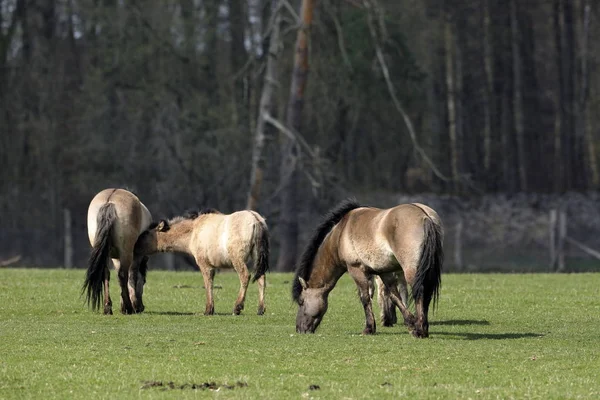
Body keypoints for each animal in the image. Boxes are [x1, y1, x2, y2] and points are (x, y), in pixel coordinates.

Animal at [82, 188, 152, 316]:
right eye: (144, 282)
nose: (142, 307)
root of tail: (110, 201)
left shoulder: (115, 257)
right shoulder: (136, 256)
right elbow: (132, 276)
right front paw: (133, 305)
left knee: (106, 274)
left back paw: (107, 307)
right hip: (126, 252)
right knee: (123, 275)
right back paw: (129, 308)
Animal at [136, 209, 270, 316]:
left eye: (146, 233)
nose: (135, 246)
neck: (192, 233)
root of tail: (256, 220)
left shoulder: (204, 264)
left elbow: (208, 284)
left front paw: (208, 310)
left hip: (237, 258)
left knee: (245, 276)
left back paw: (237, 307)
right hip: (257, 257)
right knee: (261, 278)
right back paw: (260, 309)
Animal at [292, 199, 442, 338]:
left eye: (301, 301)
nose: (300, 329)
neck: (340, 232)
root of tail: (424, 216)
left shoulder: (356, 270)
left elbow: (365, 298)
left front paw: (369, 328)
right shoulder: (385, 272)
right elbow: (394, 296)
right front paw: (410, 323)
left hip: (411, 271)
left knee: (420, 293)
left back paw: (421, 330)